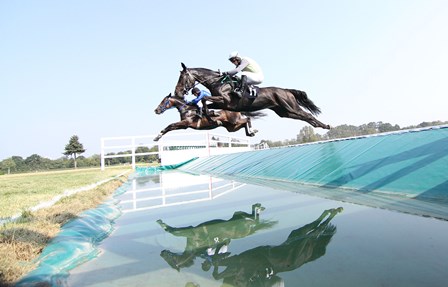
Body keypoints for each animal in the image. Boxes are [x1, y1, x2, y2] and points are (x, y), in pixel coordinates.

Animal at [173, 63, 330, 130]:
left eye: (182, 78)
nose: (177, 92)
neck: (217, 83)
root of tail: (286, 90)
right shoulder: (221, 103)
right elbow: (206, 103)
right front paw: (210, 115)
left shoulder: (225, 101)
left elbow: (205, 99)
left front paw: (211, 116)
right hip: (284, 112)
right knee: (303, 117)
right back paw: (319, 126)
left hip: (291, 106)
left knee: (306, 114)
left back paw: (325, 125)